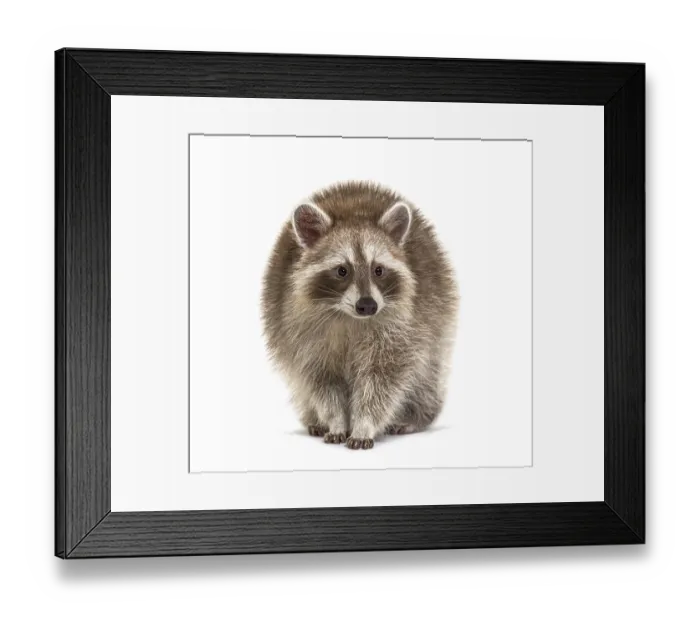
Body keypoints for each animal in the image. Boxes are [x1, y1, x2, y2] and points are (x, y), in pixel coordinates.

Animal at [261, 181, 458, 450]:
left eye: (379, 270)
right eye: (342, 270)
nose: (367, 305)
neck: (349, 317)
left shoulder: (404, 325)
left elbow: (381, 381)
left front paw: (364, 425)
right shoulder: (300, 331)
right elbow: (322, 382)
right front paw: (335, 421)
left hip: (438, 318)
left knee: (427, 374)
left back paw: (416, 416)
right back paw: (315, 419)